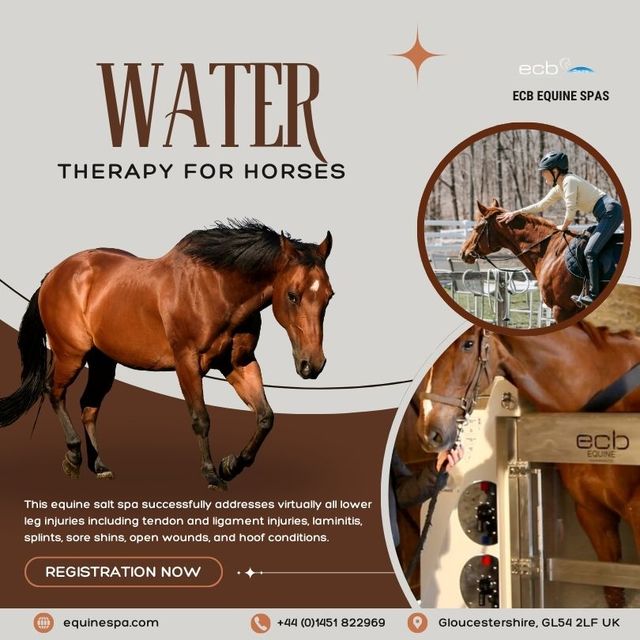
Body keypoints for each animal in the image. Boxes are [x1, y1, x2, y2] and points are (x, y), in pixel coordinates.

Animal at [0, 220, 333, 490]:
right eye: (292, 295)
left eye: (329, 296)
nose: (312, 365)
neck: (217, 289)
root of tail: (53, 274)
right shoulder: (187, 362)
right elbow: (201, 418)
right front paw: (212, 475)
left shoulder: (239, 364)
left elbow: (265, 417)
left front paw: (231, 465)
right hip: (71, 354)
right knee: (54, 391)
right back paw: (72, 457)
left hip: (103, 361)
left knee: (89, 406)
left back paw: (100, 466)